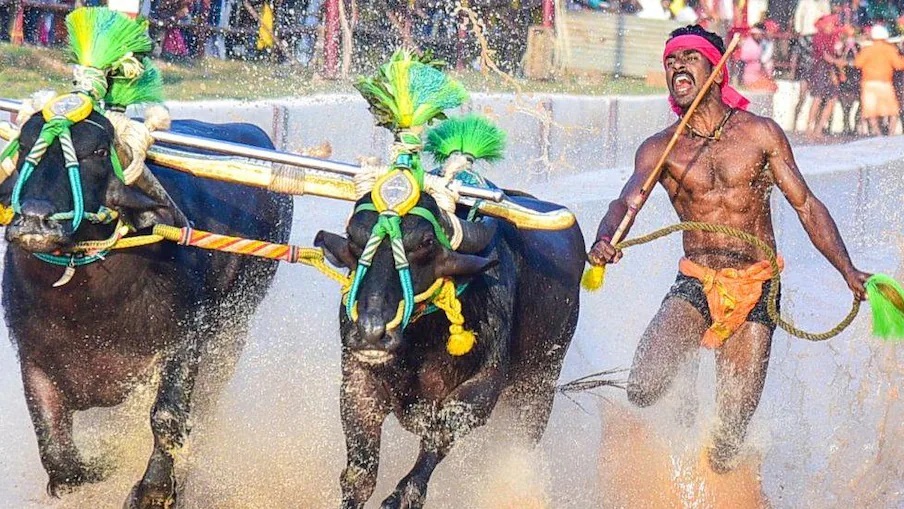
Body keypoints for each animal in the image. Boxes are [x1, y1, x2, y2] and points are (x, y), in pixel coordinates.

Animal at [1, 112, 292, 508]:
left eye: (97, 151)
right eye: (25, 145)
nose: (34, 218)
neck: (88, 307)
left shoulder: (185, 342)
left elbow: (167, 417)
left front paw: (154, 489)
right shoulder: (33, 357)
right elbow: (59, 455)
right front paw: (105, 463)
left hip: (234, 329)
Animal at [318, 191, 584, 508]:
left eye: (426, 243)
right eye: (353, 237)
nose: (372, 332)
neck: (419, 346)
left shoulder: (481, 390)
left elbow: (433, 446)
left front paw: (400, 497)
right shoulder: (358, 384)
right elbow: (359, 477)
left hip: (537, 392)